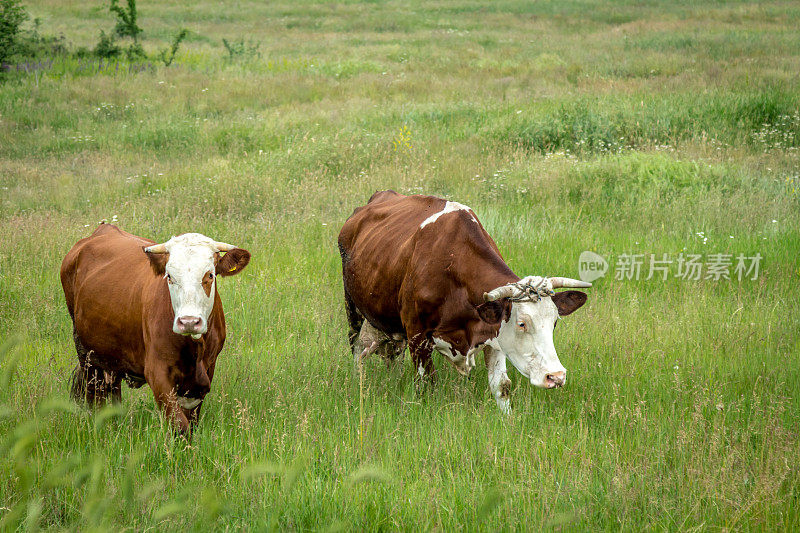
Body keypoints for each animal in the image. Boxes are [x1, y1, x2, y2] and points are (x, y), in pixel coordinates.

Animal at [60, 222, 248, 430]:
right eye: (169, 276)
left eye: (210, 275)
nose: (189, 322)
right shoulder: (158, 373)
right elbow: (179, 425)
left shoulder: (205, 373)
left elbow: (191, 423)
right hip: (87, 354)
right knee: (96, 393)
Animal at [340, 189, 592, 414]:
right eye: (522, 323)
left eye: (554, 322)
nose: (556, 376)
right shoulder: (417, 335)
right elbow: (427, 384)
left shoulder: (494, 334)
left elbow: (501, 386)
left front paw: (508, 421)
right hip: (353, 309)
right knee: (356, 349)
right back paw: (357, 382)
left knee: (393, 357)